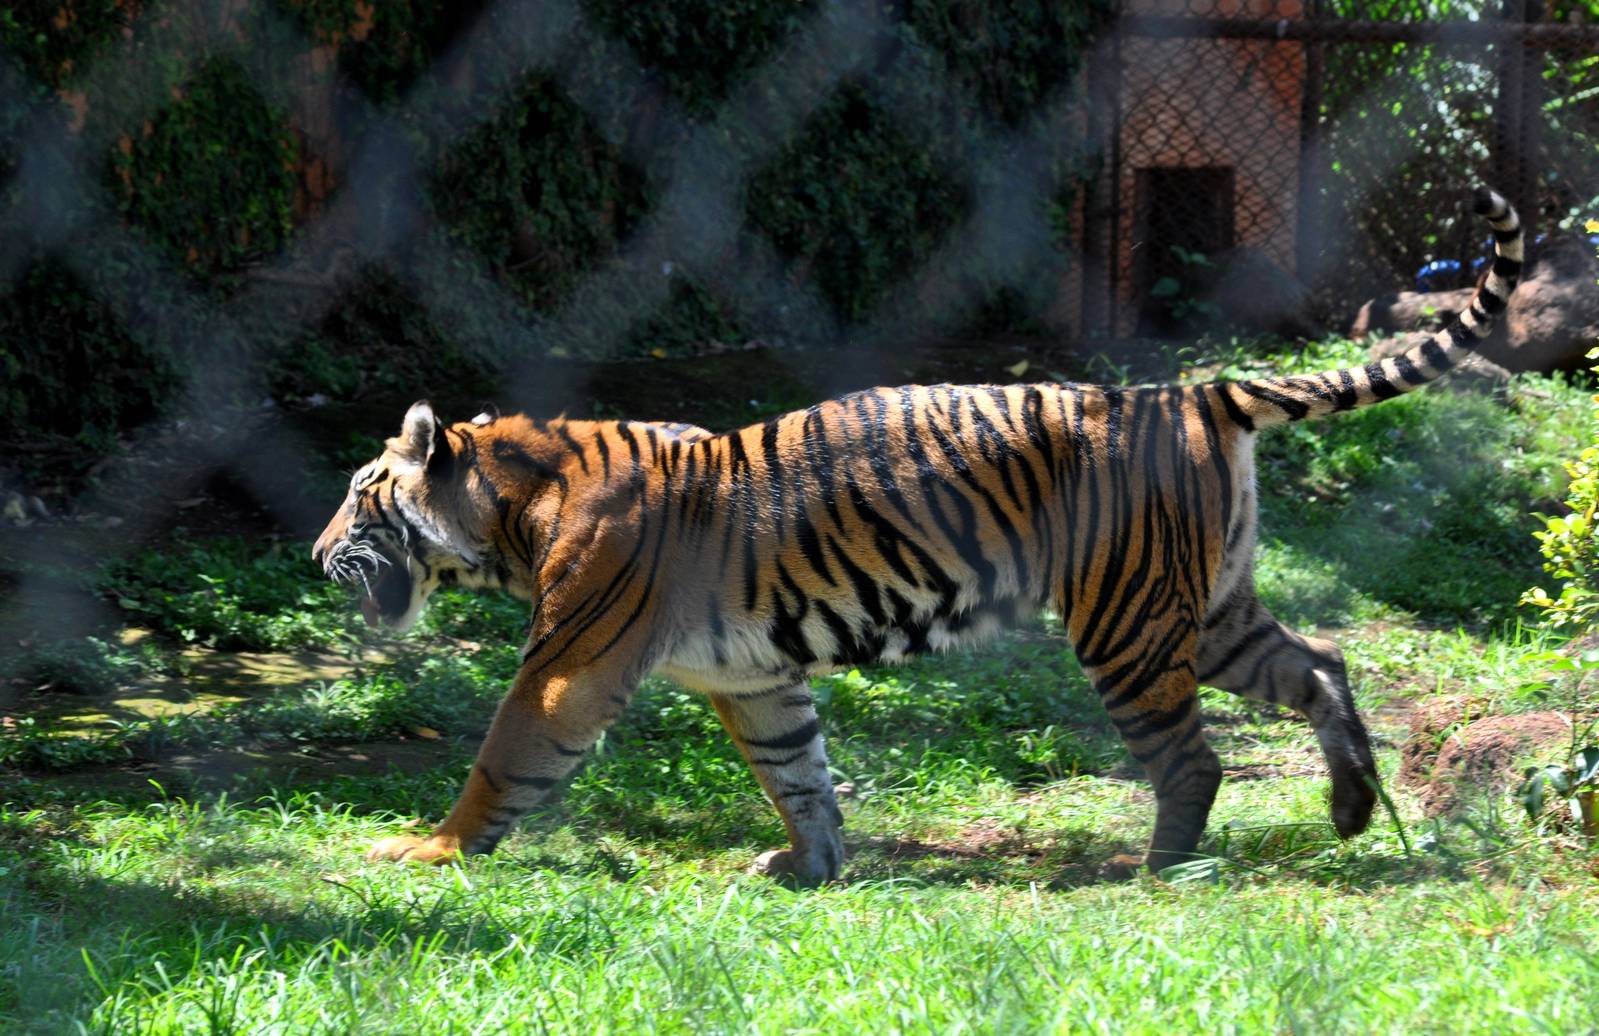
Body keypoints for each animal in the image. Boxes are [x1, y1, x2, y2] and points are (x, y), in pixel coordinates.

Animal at [313, 188, 1522, 882]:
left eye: (362, 490)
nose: (316, 553)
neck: (512, 510)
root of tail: (1191, 391)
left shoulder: (568, 664)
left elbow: (503, 755)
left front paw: (430, 847)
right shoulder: (754, 676)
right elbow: (797, 769)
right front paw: (810, 863)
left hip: (1127, 621)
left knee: (1194, 754)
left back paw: (1156, 868)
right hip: (1208, 605)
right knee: (1321, 660)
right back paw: (1352, 807)